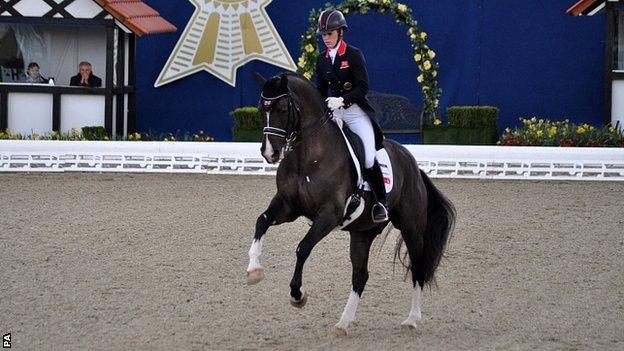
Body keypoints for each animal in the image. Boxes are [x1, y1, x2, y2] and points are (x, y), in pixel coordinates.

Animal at [246, 72, 456, 336]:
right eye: (259, 109)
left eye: (283, 109)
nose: (269, 153)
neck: (308, 156)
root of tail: (412, 163)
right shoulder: (287, 206)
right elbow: (261, 221)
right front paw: (253, 270)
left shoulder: (328, 215)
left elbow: (302, 248)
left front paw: (297, 295)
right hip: (362, 232)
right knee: (360, 276)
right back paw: (344, 323)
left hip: (412, 227)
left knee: (417, 267)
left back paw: (412, 319)